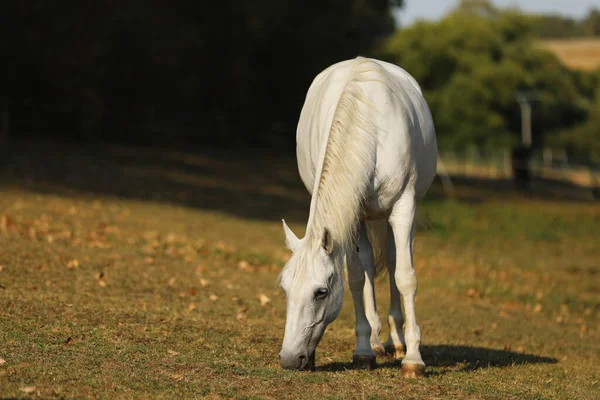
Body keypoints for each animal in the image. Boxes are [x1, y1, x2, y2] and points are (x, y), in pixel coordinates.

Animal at [276, 57, 436, 378]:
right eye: (285, 288)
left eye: (321, 292)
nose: (289, 358)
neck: (370, 127)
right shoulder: (354, 213)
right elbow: (356, 278)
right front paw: (363, 352)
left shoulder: (404, 206)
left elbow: (405, 277)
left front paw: (414, 359)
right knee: (369, 267)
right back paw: (374, 341)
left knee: (394, 261)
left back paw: (397, 342)